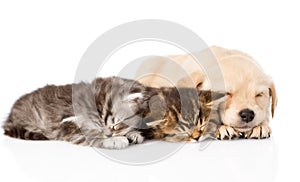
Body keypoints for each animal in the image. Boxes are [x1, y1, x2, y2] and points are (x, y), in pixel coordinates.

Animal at [2, 76, 225, 149]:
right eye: (99, 130)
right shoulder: (68, 130)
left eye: (116, 124)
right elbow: (90, 138)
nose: (109, 134)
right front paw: (117, 140)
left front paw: (131, 134)